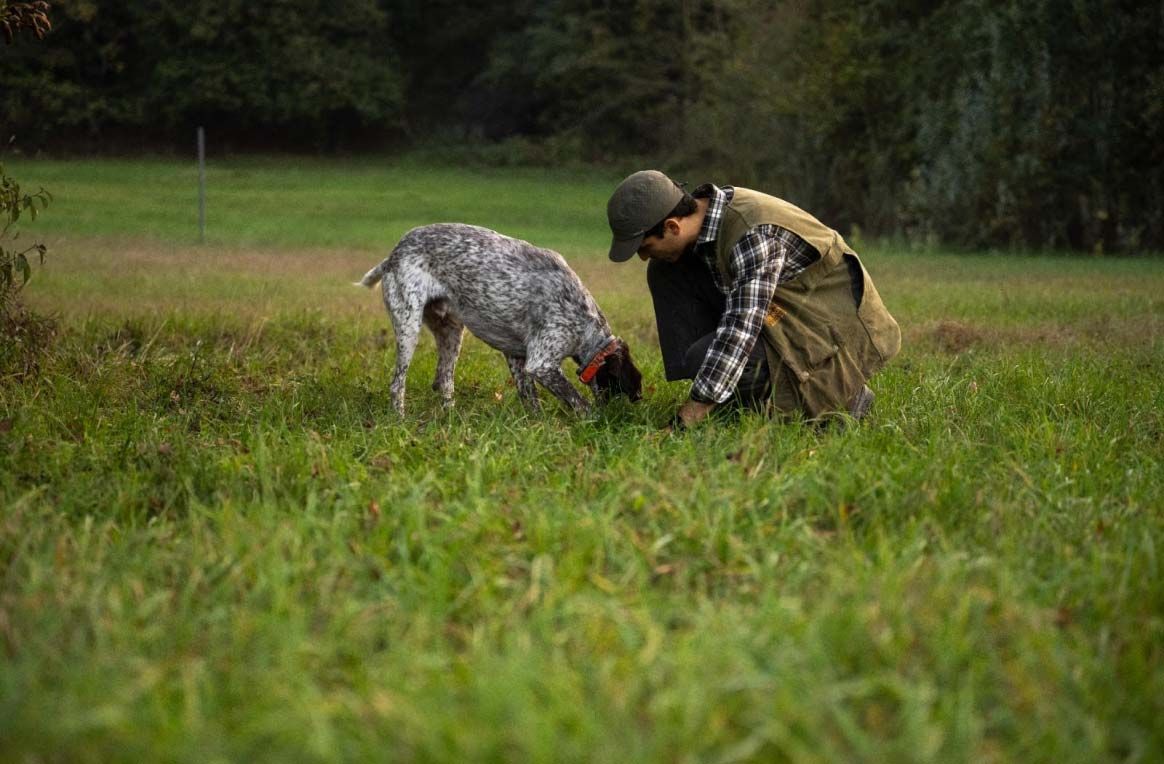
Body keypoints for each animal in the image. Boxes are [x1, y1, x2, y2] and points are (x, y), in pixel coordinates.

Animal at [356, 223, 642, 414]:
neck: (585, 323)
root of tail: (394, 254)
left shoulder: (517, 357)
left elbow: (531, 400)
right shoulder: (542, 363)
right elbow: (578, 402)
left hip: (452, 332)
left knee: (443, 380)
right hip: (408, 327)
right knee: (397, 384)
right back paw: (400, 421)